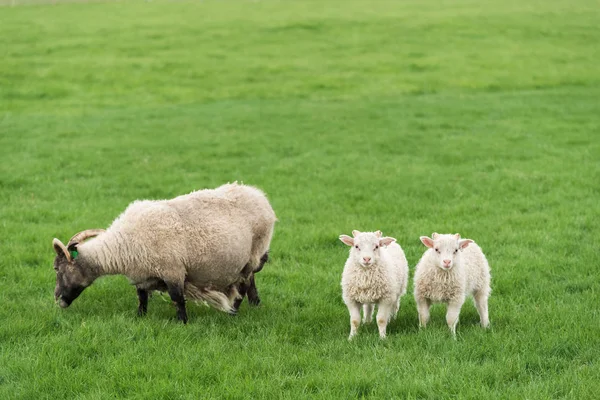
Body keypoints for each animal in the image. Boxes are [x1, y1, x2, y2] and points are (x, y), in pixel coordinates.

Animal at [51, 183, 276, 324]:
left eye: (57, 269)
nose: (57, 299)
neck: (123, 245)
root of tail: (259, 196)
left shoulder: (172, 270)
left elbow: (178, 298)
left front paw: (182, 323)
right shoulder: (142, 274)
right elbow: (142, 297)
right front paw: (140, 317)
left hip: (253, 253)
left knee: (243, 285)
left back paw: (233, 312)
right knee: (250, 281)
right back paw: (255, 304)